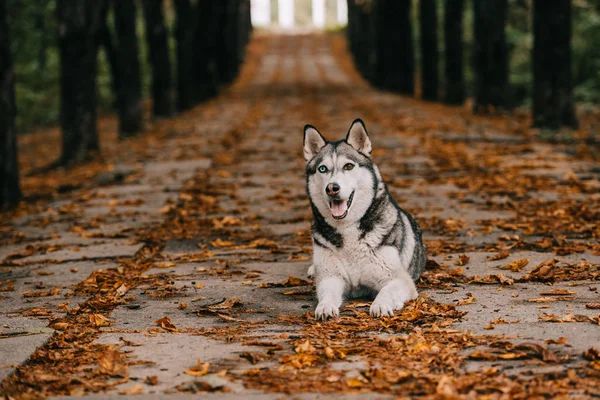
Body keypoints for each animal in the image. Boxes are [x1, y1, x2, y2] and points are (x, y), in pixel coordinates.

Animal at [304, 118, 426, 318]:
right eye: (322, 169)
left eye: (348, 166)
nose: (332, 188)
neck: (347, 228)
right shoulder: (331, 277)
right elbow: (328, 293)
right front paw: (325, 306)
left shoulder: (400, 280)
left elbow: (387, 291)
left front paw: (381, 304)